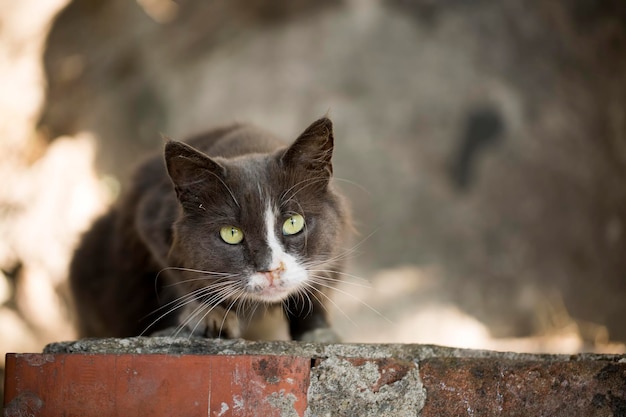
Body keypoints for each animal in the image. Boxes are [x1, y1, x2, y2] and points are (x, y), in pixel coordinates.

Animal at [70, 117, 352, 342]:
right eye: (231, 233)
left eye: (293, 223)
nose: (270, 270)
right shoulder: (150, 220)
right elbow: (180, 278)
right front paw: (212, 315)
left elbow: (315, 291)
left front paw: (318, 332)